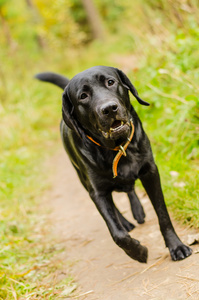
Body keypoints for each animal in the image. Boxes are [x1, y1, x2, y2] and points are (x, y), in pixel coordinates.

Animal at [35, 65, 191, 262]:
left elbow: (162, 214)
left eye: (110, 82)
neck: (117, 148)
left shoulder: (150, 172)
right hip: (82, 178)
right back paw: (126, 222)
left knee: (130, 189)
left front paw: (176, 246)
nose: (109, 108)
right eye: (83, 96)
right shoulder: (97, 192)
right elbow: (117, 233)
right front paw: (138, 252)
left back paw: (138, 211)